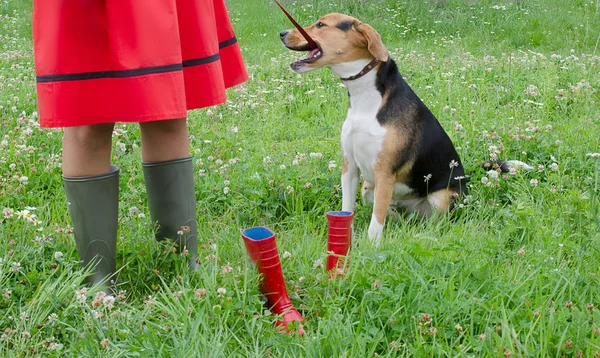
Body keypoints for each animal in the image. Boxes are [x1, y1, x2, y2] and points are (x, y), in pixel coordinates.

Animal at [282, 12, 468, 245]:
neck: (365, 96)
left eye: (321, 24)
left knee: (432, 222)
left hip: (439, 197)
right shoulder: (350, 167)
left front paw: (371, 246)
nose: (282, 33)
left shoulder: (385, 173)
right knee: (395, 213)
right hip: (368, 189)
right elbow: (349, 209)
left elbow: (376, 220)